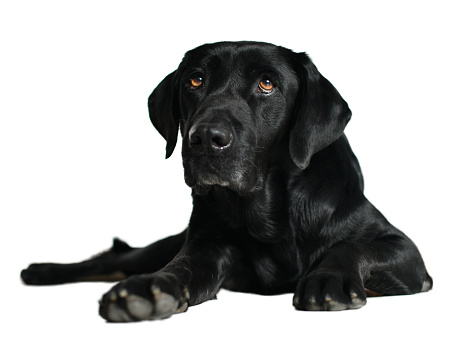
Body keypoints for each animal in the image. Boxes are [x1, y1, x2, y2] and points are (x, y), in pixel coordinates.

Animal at [20, 41, 430, 322]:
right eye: (195, 80)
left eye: (267, 84)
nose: (205, 138)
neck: (270, 212)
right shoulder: (205, 245)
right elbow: (179, 268)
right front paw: (147, 291)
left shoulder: (404, 250)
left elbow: (352, 246)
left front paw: (329, 279)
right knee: (117, 258)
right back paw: (43, 271)